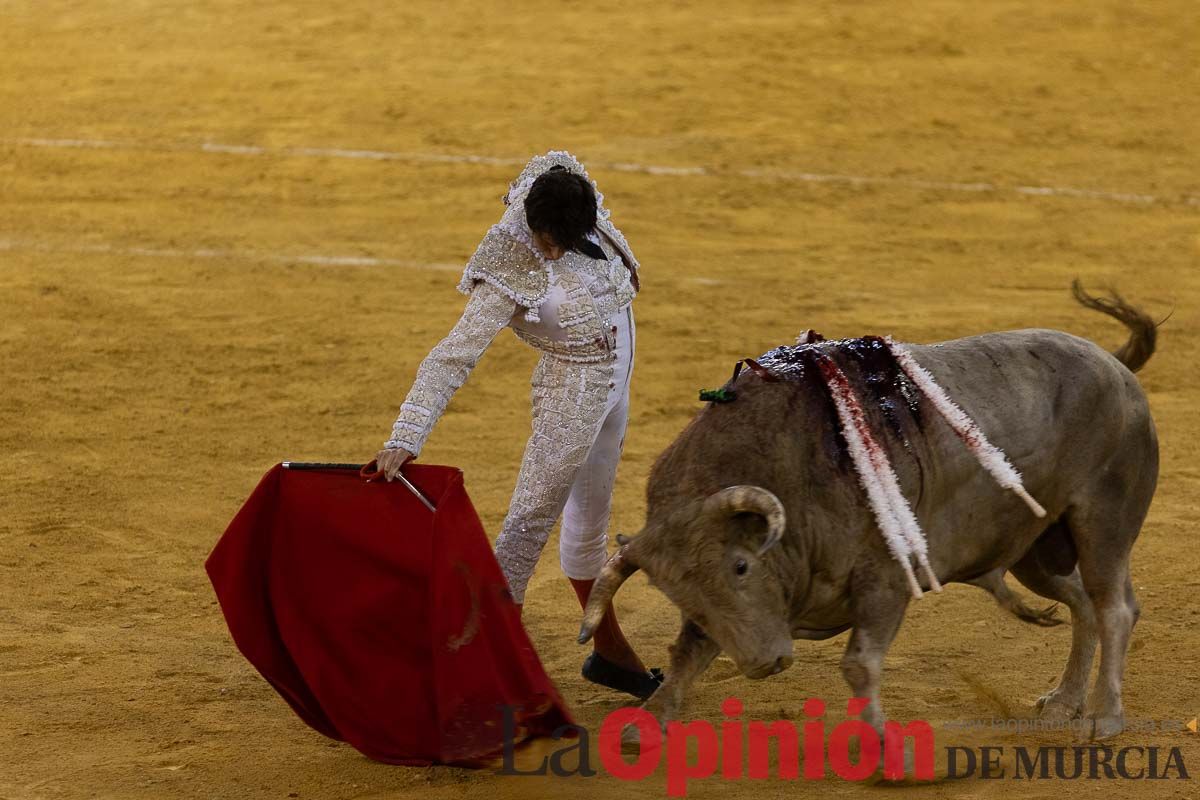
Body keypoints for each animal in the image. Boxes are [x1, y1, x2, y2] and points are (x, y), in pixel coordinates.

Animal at [580, 283, 1161, 743]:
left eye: (741, 566)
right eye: (679, 593)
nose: (765, 662)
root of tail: (1114, 365)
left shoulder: (884, 580)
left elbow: (859, 665)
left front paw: (882, 747)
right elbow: (690, 649)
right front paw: (645, 723)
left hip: (1102, 522)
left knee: (1113, 606)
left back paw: (1104, 717)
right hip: (1034, 550)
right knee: (1081, 603)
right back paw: (1064, 701)